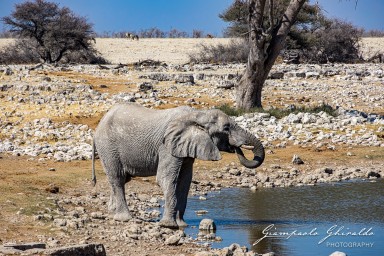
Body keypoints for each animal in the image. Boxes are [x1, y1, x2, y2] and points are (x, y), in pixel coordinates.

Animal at [91, 103, 264, 229]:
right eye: (226, 128)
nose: (237, 148)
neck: (197, 114)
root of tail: (99, 124)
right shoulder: (167, 146)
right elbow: (166, 179)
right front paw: (169, 226)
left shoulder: (186, 149)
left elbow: (184, 182)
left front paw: (182, 225)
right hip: (108, 147)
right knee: (118, 178)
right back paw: (124, 218)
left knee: (119, 180)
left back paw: (112, 212)